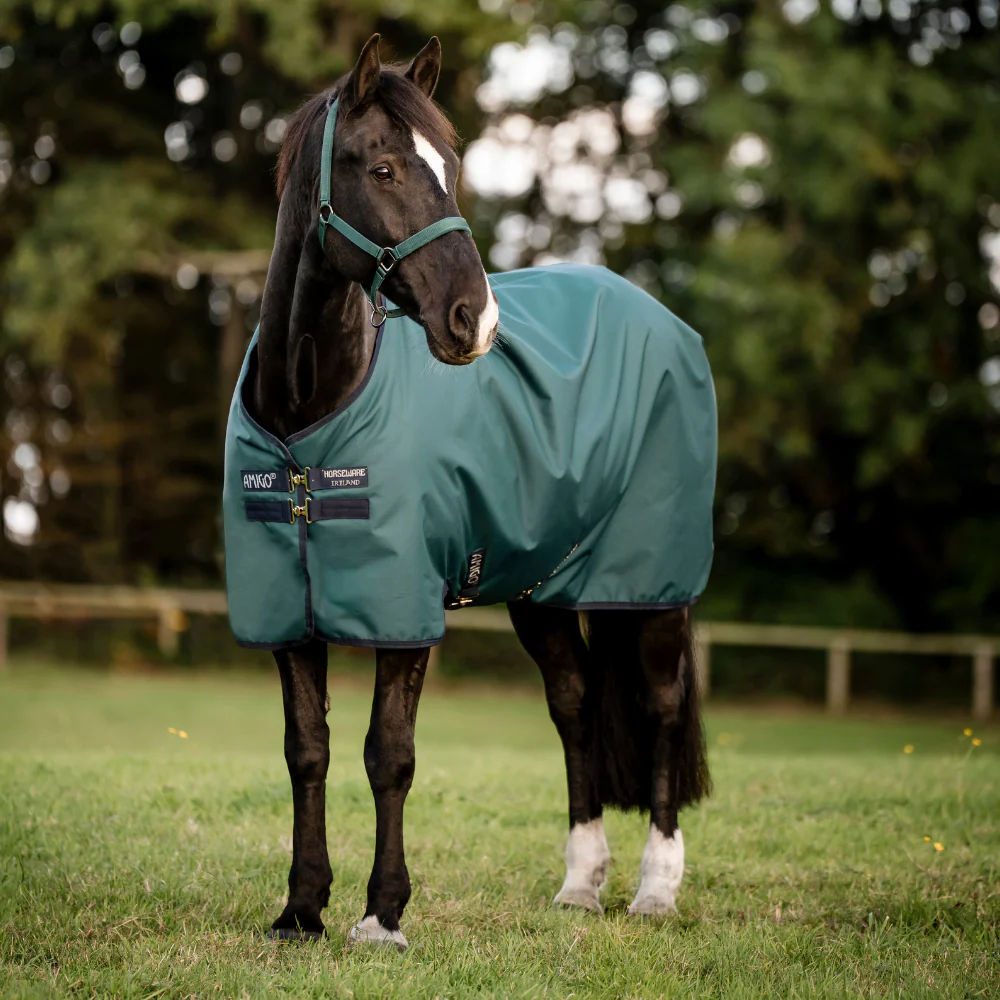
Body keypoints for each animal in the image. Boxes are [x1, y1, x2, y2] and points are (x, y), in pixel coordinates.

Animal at [228, 33, 713, 950]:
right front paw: (301, 909)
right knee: (575, 705)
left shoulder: (404, 606)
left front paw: (382, 914)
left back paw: (658, 889)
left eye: (449, 167)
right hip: (542, 589)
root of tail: (662, 318)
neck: (310, 417)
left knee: (661, 708)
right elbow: (306, 749)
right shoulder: (284, 611)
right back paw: (580, 885)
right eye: (382, 167)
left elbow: (389, 753)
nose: (474, 321)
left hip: (651, 586)